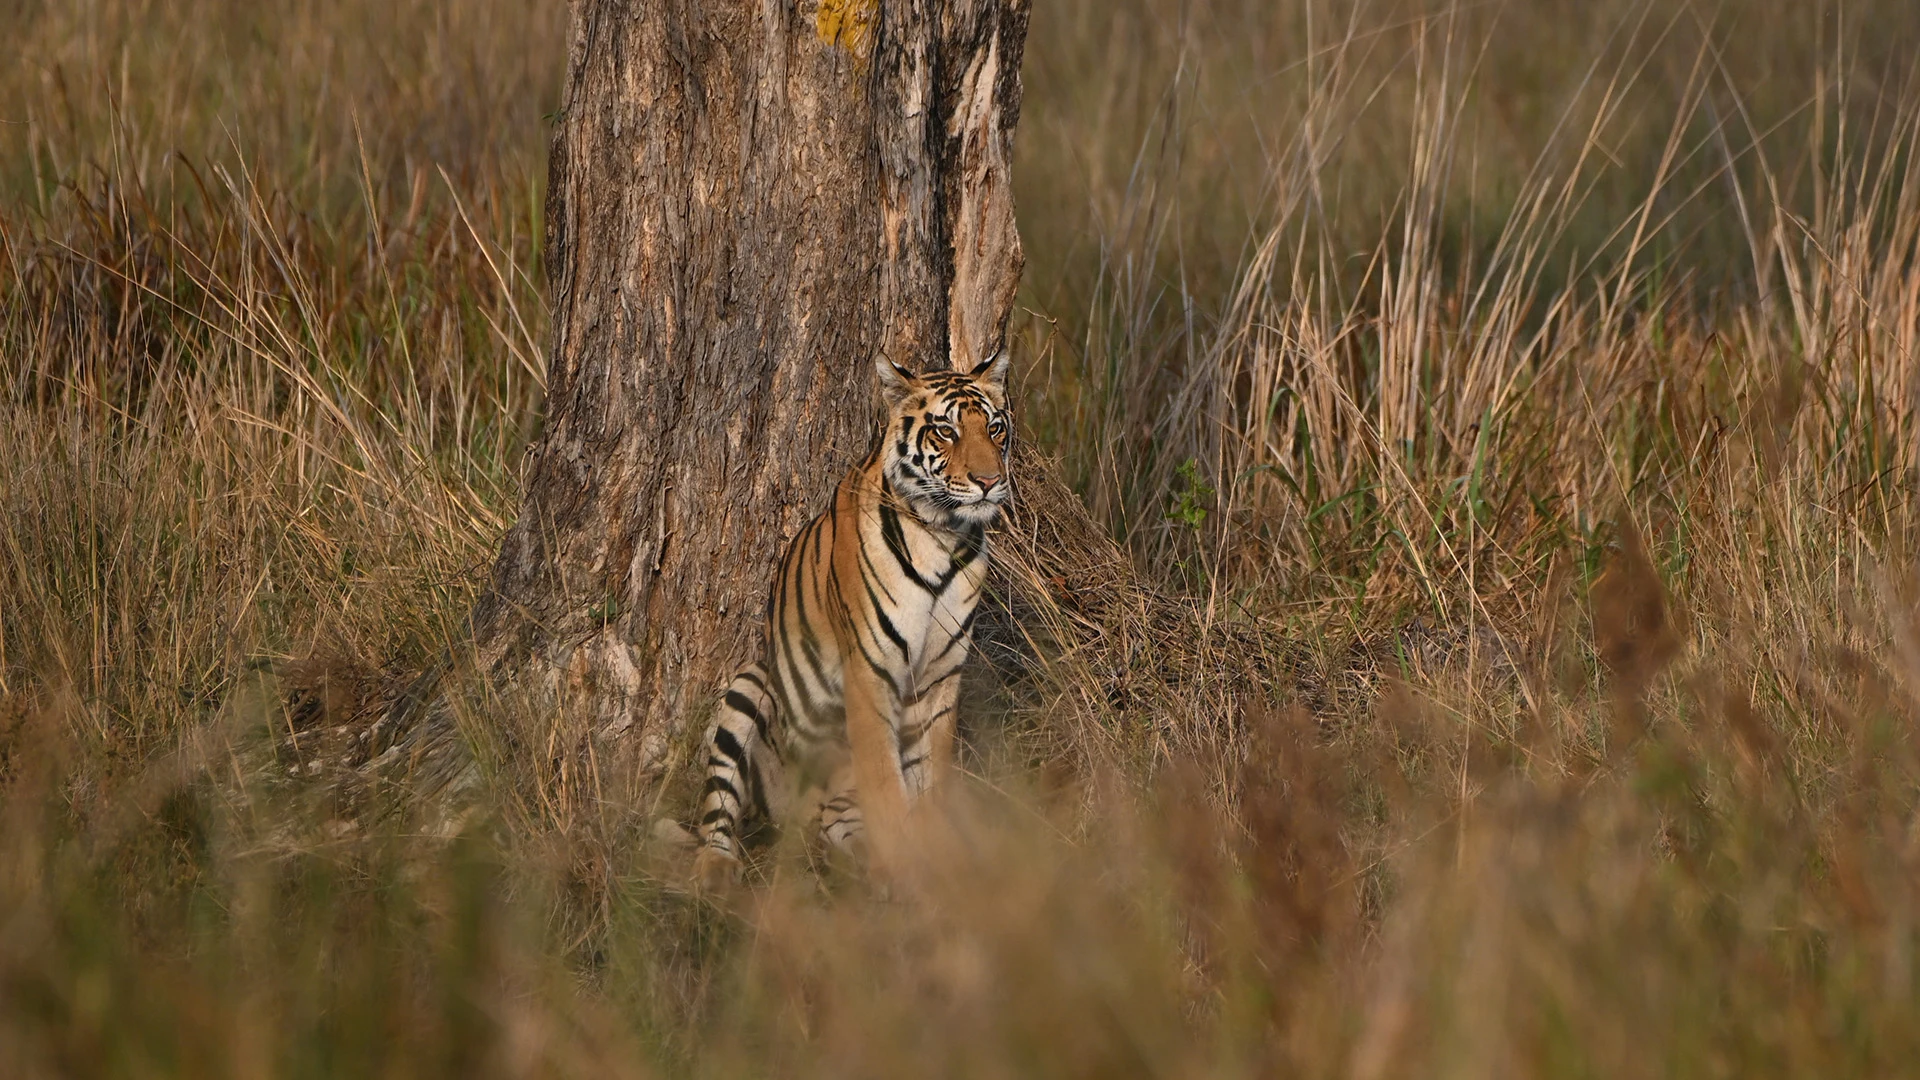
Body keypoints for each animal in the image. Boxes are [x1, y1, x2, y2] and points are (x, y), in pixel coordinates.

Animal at [695, 349, 1021, 887]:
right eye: (946, 431)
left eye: (994, 429)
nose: (990, 482)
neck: (945, 534)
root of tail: (799, 812)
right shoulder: (870, 668)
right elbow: (884, 779)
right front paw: (903, 864)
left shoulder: (942, 674)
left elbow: (932, 773)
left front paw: (939, 854)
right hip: (748, 686)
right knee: (716, 806)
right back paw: (716, 867)